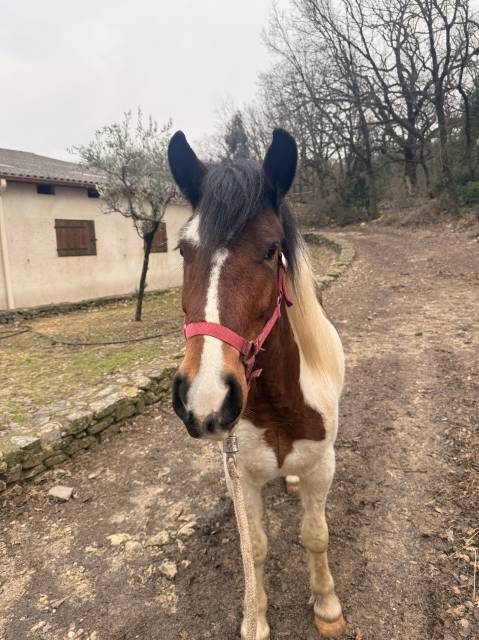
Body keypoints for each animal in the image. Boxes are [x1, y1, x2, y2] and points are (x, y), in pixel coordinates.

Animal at [168, 128, 346, 640]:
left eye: (271, 250)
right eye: (183, 249)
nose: (205, 399)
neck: (278, 405)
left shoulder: (322, 465)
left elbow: (316, 535)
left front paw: (327, 606)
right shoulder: (241, 477)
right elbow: (258, 547)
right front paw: (256, 619)